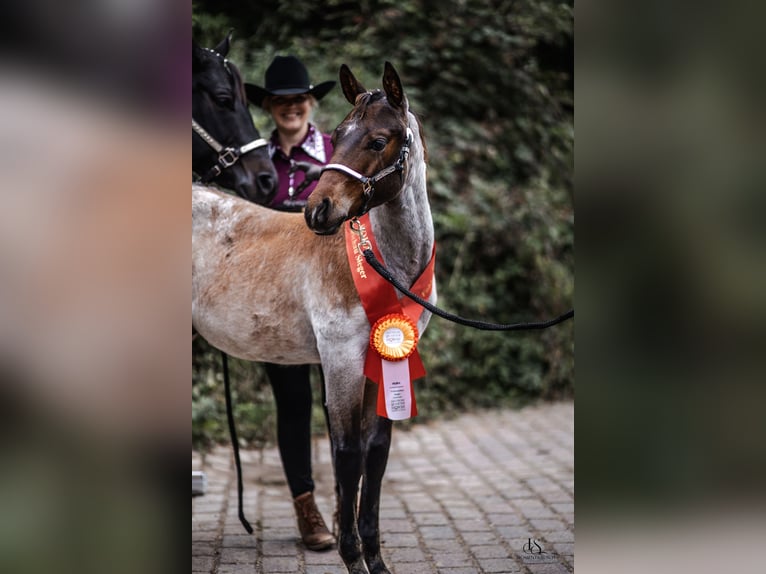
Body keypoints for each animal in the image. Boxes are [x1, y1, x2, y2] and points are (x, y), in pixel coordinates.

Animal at [192, 62, 435, 574]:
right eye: (338, 133)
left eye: (378, 140)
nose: (317, 211)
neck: (382, 261)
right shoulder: (341, 360)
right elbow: (346, 454)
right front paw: (352, 557)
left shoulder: (384, 362)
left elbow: (374, 454)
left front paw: (375, 558)